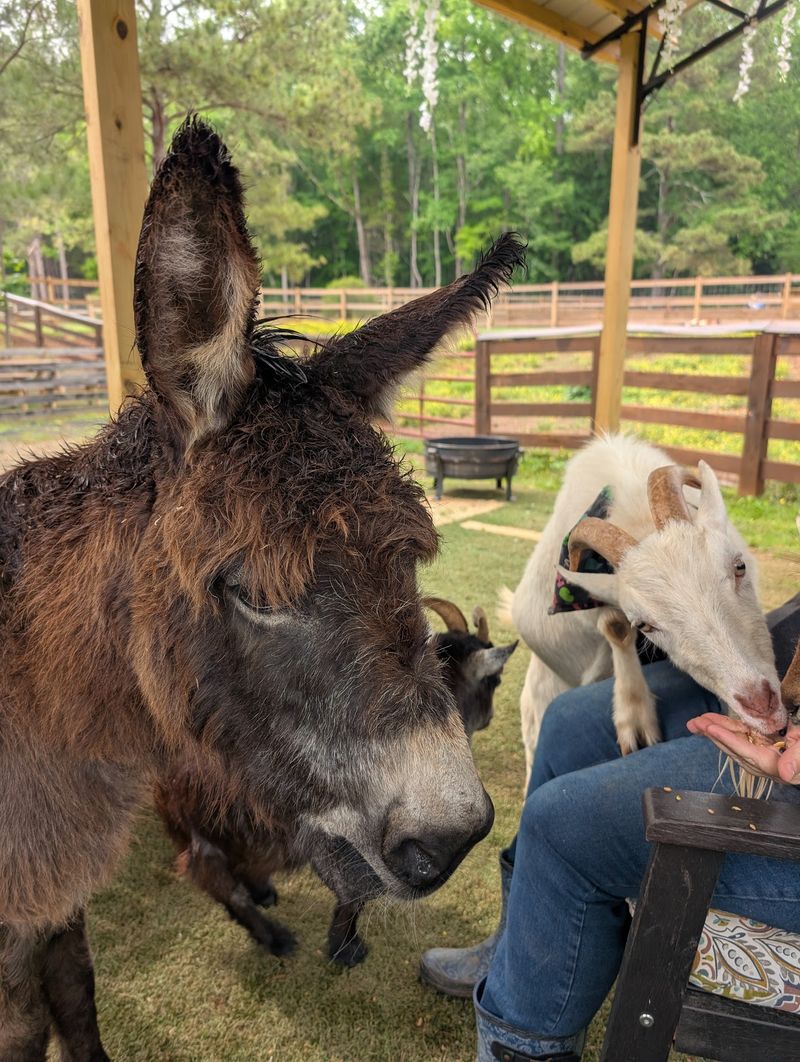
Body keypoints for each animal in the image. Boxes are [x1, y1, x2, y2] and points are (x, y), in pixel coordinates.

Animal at [154, 599, 516, 967]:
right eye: (496, 681)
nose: (489, 718)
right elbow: (357, 891)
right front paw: (346, 947)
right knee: (217, 878)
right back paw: (274, 936)